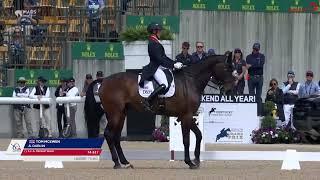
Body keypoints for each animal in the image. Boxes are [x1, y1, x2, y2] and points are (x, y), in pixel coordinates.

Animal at [97, 50, 235, 169]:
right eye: (227, 68)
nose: (229, 90)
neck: (191, 80)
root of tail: (104, 81)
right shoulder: (186, 115)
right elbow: (186, 140)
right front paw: (189, 162)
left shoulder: (188, 116)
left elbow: (199, 135)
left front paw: (196, 160)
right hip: (115, 113)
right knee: (108, 134)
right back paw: (116, 163)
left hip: (121, 114)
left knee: (116, 136)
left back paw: (125, 162)